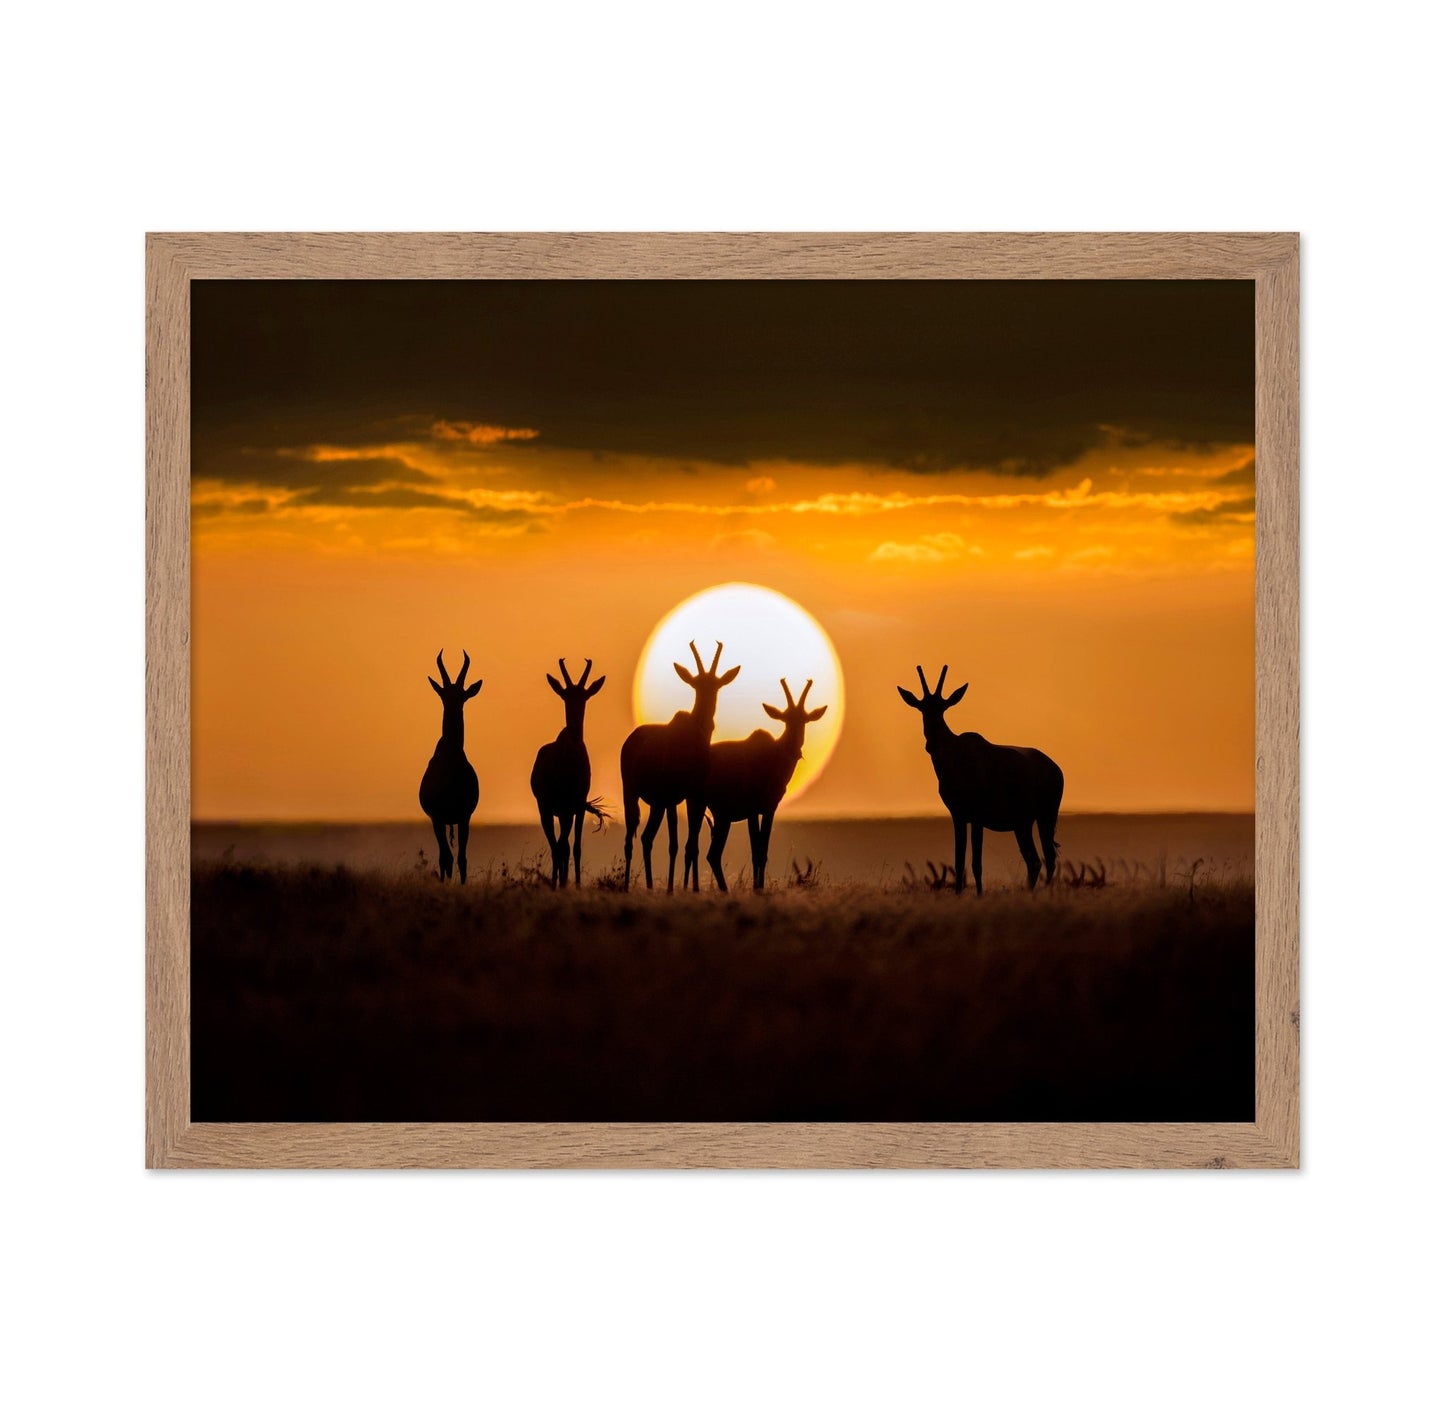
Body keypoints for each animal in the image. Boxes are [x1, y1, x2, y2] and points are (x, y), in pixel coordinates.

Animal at [419, 650, 483, 883]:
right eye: (443, 695)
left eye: (462, 696)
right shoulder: (436, 818)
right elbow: (445, 858)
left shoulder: (465, 817)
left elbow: (462, 858)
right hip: (440, 822)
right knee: (444, 857)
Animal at [529, 657, 607, 888]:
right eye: (565, 696)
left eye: (584, 696)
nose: (573, 724)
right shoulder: (560, 808)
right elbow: (561, 846)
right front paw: (560, 883)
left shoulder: (577, 807)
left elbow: (576, 847)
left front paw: (577, 884)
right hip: (546, 810)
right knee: (556, 846)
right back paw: (556, 882)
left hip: (565, 812)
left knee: (562, 845)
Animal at [620, 640, 739, 892]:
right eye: (696, 685)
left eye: (716, 686)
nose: (708, 722)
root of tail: (631, 740)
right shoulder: (671, 799)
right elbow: (674, 844)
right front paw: (672, 889)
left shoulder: (695, 797)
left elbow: (691, 844)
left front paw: (690, 888)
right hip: (633, 794)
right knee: (631, 837)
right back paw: (626, 886)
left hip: (656, 804)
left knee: (646, 837)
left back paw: (650, 886)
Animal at [704, 679, 828, 892]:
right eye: (785, 719)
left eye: (804, 720)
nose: (794, 749)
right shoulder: (753, 811)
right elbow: (756, 851)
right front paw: (756, 889)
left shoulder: (770, 809)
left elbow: (764, 851)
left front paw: (760, 888)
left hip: (722, 817)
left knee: (713, 854)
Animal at [897, 665, 1064, 895]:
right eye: (922, 709)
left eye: (942, 708)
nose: (931, 745)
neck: (957, 756)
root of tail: (1055, 769)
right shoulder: (958, 816)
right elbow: (959, 861)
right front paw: (959, 895)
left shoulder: (977, 818)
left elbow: (977, 863)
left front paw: (978, 895)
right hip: (1023, 824)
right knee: (1034, 860)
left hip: (1046, 817)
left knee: (1049, 858)